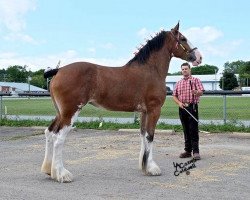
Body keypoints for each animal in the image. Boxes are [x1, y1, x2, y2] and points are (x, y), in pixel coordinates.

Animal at [41, 22, 201, 182]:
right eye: (183, 38)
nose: (199, 57)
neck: (150, 70)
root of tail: (59, 70)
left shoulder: (144, 112)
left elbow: (143, 135)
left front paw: (144, 166)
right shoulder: (154, 110)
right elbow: (150, 136)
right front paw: (152, 169)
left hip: (61, 113)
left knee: (50, 133)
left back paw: (49, 170)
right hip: (71, 112)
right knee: (59, 138)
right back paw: (62, 174)